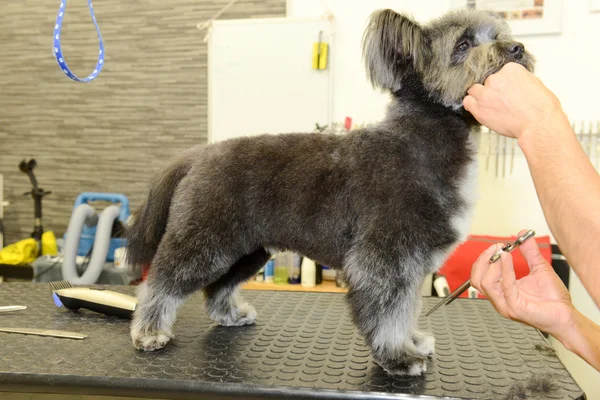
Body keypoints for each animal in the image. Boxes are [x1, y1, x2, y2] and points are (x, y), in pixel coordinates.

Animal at [126, 7, 536, 376]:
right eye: (463, 45)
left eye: (497, 35)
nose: (516, 49)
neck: (421, 140)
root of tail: (198, 155)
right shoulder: (385, 258)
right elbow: (388, 311)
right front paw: (397, 357)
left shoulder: (412, 265)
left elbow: (407, 308)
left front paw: (413, 341)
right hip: (204, 240)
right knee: (160, 282)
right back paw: (149, 331)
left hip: (247, 249)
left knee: (217, 288)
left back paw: (229, 313)